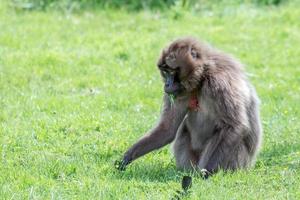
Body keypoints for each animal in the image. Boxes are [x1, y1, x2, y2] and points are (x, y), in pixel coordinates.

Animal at [116, 37, 262, 177]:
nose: (166, 85)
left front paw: (205, 173)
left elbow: (235, 126)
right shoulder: (179, 93)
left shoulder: (220, 83)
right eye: (164, 72)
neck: (202, 77)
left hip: (238, 163)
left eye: (171, 71)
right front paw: (126, 157)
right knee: (183, 129)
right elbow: (167, 129)